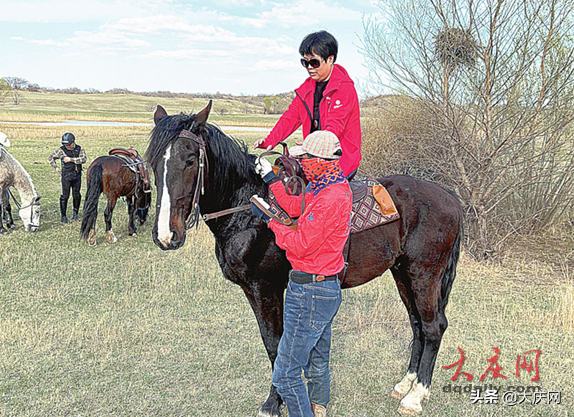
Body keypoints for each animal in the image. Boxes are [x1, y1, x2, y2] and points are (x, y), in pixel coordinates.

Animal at [146, 102, 466, 414]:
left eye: (190, 160)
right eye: (153, 162)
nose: (166, 235)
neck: (248, 210)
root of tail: (450, 196)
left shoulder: (265, 288)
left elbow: (276, 344)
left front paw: (273, 403)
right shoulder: (255, 290)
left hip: (424, 275)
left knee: (433, 327)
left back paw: (416, 396)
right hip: (402, 273)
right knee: (417, 324)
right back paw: (405, 384)